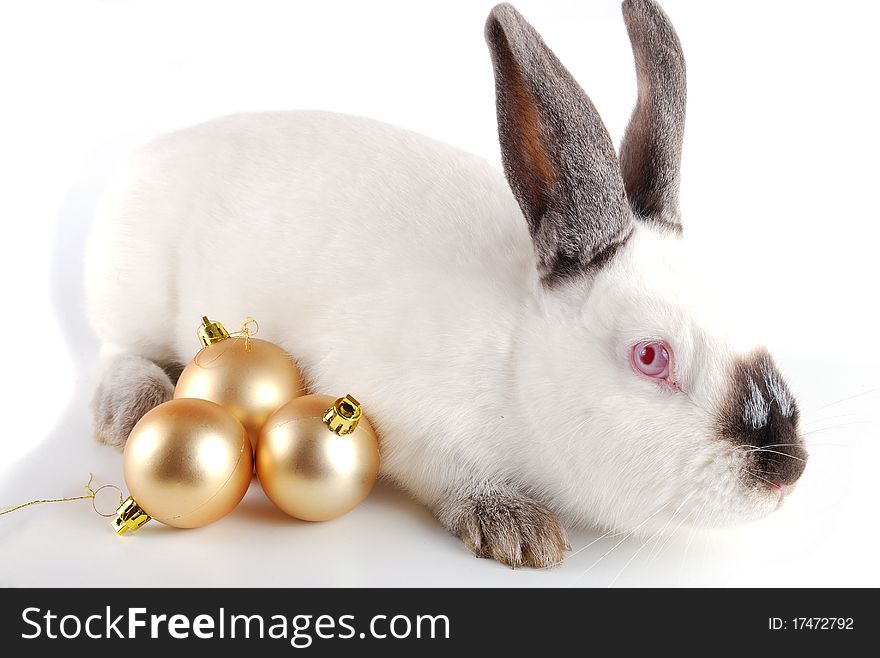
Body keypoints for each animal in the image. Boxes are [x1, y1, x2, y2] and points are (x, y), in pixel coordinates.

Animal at [87, 0, 804, 568]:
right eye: (651, 356)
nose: (787, 471)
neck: (520, 356)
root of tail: (148, 153)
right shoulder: (391, 405)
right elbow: (443, 468)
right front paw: (516, 528)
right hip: (134, 291)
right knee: (119, 350)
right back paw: (131, 409)